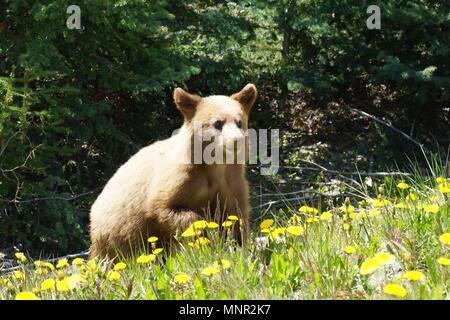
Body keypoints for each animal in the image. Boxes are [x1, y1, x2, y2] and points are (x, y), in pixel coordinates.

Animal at [89, 84, 256, 258]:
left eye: (239, 122)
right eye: (217, 123)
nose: (237, 140)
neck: (215, 166)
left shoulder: (231, 181)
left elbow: (236, 215)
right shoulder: (183, 177)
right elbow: (163, 207)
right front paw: (204, 230)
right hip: (116, 233)